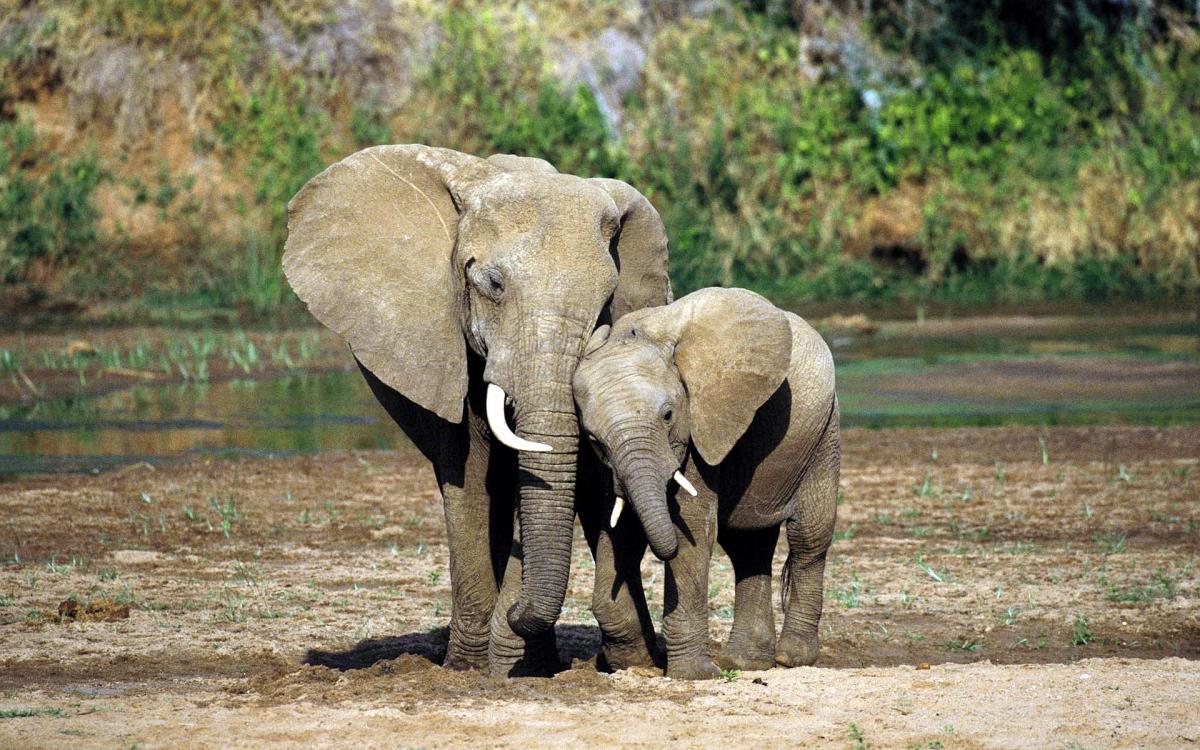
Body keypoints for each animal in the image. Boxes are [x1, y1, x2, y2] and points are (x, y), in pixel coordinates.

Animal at [285, 143, 672, 676]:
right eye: (493, 284)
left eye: (606, 301)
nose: (516, 611)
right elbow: (467, 474)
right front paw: (472, 667)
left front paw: (518, 659)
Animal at [573, 286, 840, 676]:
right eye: (593, 438)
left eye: (668, 415)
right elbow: (619, 529)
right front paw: (633, 665)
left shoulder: (701, 427)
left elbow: (692, 529)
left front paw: (693, 675)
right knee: (748, 547)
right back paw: (747, 663)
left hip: (823, 435)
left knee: (809, 538)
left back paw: (790, 658)